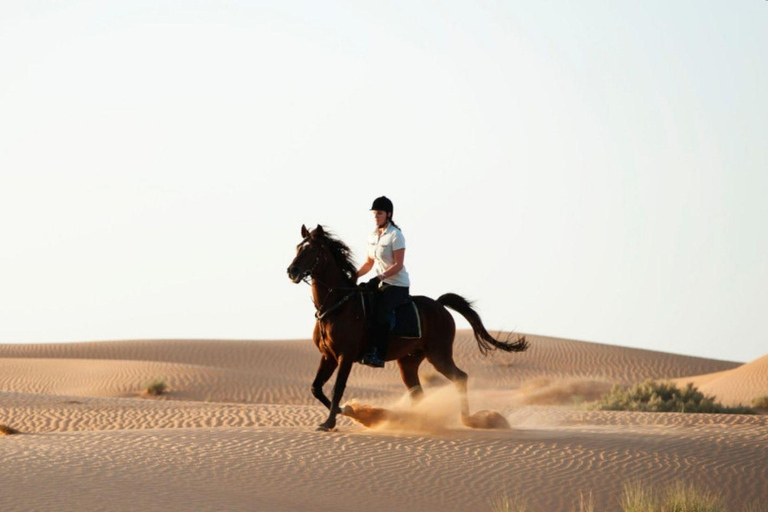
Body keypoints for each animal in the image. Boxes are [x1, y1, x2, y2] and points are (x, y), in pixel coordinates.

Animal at [288, 226, 528, 430]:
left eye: (312, 250)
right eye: (298, 247)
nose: (292, 271)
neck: (338, 305)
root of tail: (439, 305)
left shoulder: (345, 356)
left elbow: (337, 388)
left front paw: (331, 421)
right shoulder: (328, 356)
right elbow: (316, 388)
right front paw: (347, 411)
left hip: (438, 355)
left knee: (460, 377)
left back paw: (467, 420)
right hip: (409, 361)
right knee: (417, 392)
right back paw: (418, 421)